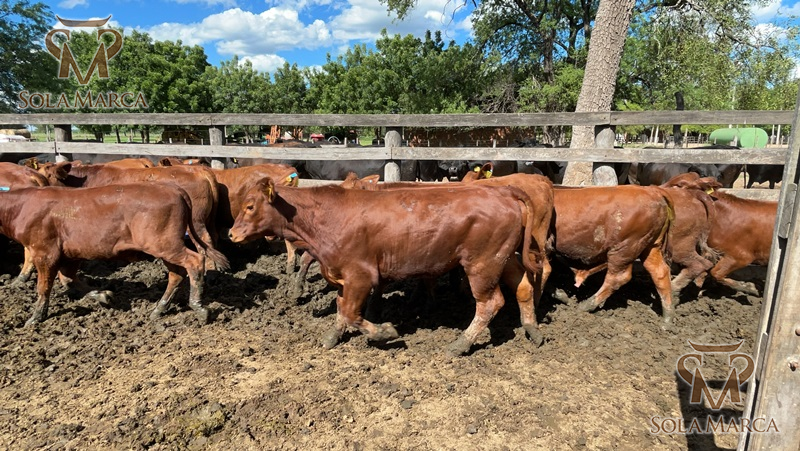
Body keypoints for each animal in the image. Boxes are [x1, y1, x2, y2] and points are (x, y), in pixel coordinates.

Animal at [0, 183, 228, 326]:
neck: (20, 206)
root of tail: (174, 189)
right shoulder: (69, 255)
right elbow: (71, 280)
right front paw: (104, 295)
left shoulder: (44, 252)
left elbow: (44, 287)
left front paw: (35, 317)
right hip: (165, 247)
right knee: (177, 274)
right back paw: (159, 309)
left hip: (166, 244)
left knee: (195, 261)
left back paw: (199, 307)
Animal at [228, 179, 542, 356]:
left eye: (250, 206)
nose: (231, 234)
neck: (325, 218)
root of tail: (502, 192)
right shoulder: (343, 276)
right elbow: (341, 309)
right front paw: (333, 336)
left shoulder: (360, 275)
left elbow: (352, 312)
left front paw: (384, 332)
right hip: (504, 258)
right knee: (524, 288)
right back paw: (532, 328)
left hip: (482, 264)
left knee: (490, 303)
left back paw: (461, 344)